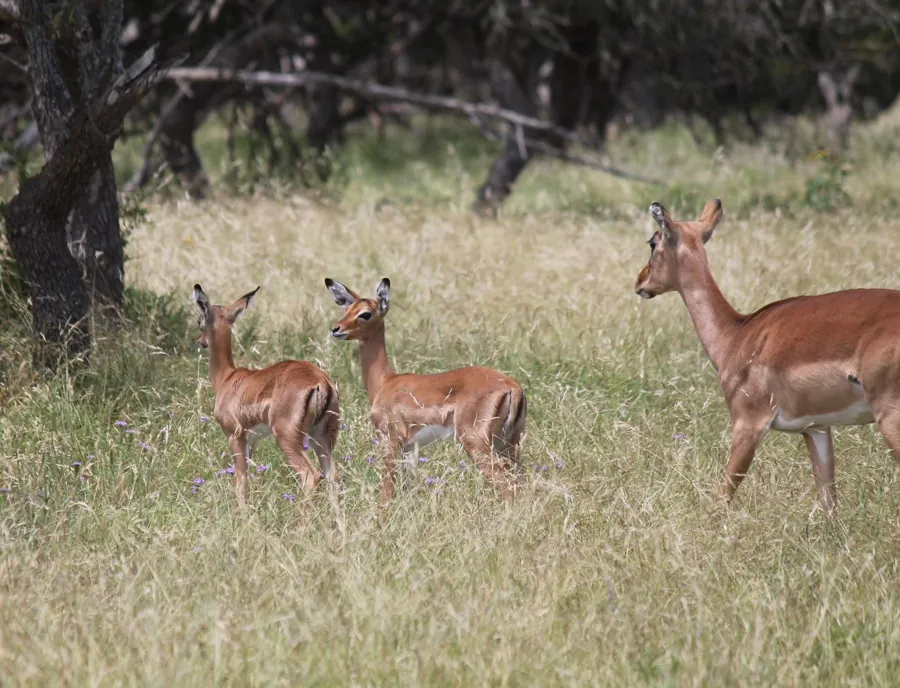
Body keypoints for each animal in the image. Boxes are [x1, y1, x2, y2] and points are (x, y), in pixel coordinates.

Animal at [193, 284, 340, 502]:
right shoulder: (250, 441)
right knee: (333, 477)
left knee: (310, 476)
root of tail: (320, 381)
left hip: (288, 437)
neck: (227, 378)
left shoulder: (235, 436)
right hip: (322, 438)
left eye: (199, 321)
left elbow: (240, 482)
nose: (200, 341)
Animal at [324, 277, 527, 502]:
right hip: (508, 445)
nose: (336, 329)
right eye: (347, 309)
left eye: (365, 313)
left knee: (507, 486)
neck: (386, 382)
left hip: (477, 443)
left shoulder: (390, 441)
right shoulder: (409, 448)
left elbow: (386, 490)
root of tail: (513, 387)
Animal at [634, 199, 900, 515]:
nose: (640, 282)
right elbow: (829, 503)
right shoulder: (816, 429)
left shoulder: (748, 424)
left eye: (653, 242)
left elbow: (722, 495)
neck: (736, 334)